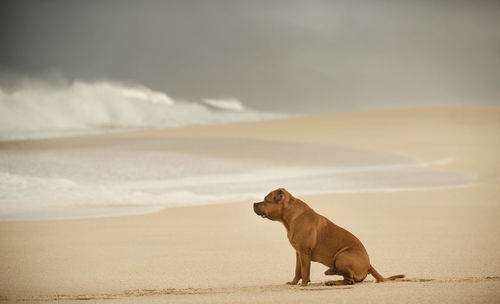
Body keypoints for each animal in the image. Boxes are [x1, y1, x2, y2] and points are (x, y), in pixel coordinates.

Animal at [252, 188, 404, 284]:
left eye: (265, 199)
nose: (254, 203)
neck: (290, 216)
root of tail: (369, 265)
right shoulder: (298, 253)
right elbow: (298, 270)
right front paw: (294, 282)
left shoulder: (304, 252)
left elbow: (305, 272)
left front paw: (303, 285)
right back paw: (331, 272)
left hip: (342, 256)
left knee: (350, 281)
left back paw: (332, 281)